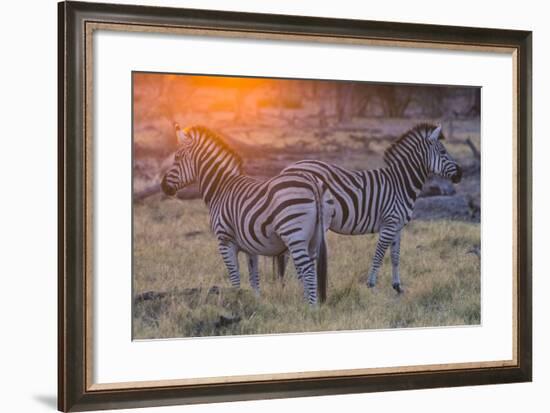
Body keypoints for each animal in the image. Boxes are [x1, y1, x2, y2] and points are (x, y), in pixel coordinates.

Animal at [160, 124, 332, 304]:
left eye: (177, 158)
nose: (163, 186)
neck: (221, 188)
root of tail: (312, 181)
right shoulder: (251, 247)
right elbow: (254, 279)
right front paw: (256, 302)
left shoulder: (225, 240)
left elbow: (235, 277)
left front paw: (236, 300)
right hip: (315, 237)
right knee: (312, 270)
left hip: (294, 234)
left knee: (308, 271)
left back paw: (310, 307)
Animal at [278, 122, 464, 292]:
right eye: (443, 152)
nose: (461, 174)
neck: (400, 184)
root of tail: (287, 169)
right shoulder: (389, 224)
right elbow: (379, 255)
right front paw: (371, 285)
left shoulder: (397, 226)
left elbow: (395, 256)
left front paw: (397, 286)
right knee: (292, 254)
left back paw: (284, 285)